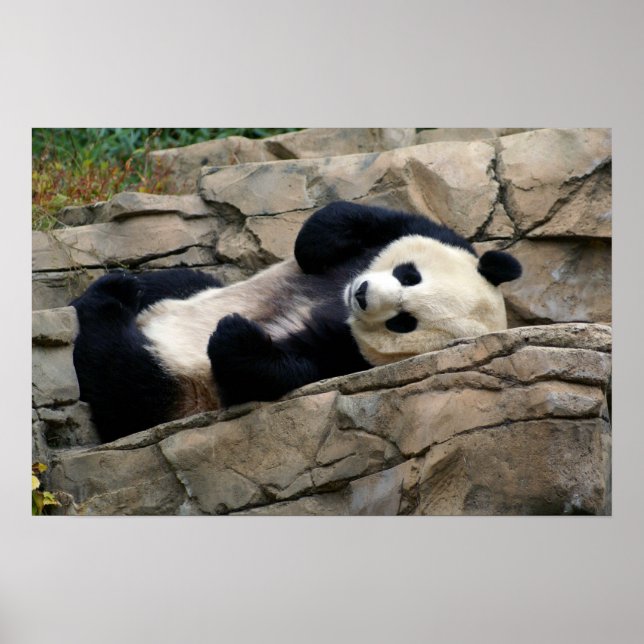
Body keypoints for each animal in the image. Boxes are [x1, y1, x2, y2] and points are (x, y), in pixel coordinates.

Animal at [71, 201, 522, 442]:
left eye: (404, 322)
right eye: (409, 275)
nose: (361, 294)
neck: (338, 306)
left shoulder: (348, 359)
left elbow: (275, 372)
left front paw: (236, 333)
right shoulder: (428, 232)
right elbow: (337, 222)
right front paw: (321, 247)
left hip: (179, 388)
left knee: (124, 377)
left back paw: (108, 302)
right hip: (184, 292)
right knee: (176, 282)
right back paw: (121, 285)